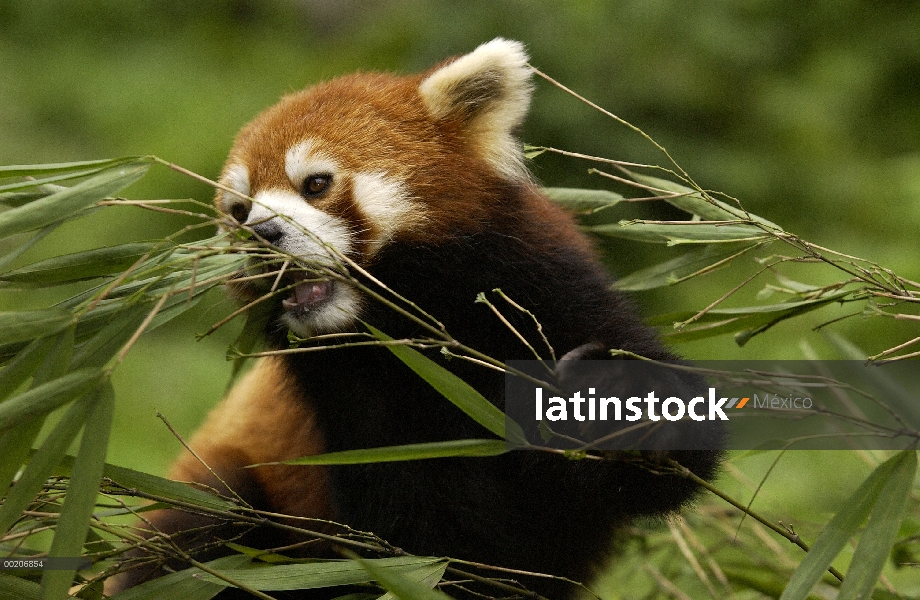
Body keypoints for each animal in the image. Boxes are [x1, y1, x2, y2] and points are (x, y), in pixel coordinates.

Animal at [111, 39, 724, 596]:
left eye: (316, 183)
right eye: (238, 212)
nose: (261, 235)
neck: (417, 326)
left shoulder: (547, 291)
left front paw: (615, 401)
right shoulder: (348, 400)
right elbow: (412, 533)